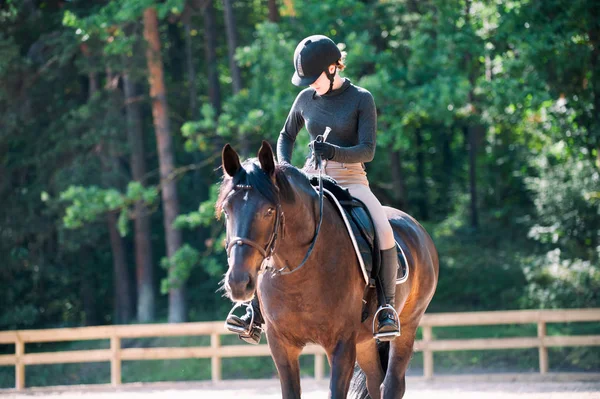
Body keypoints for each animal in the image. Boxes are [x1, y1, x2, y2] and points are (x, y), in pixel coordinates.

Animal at [218, 142, 438, 398]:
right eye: (227, 210)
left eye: (269, 211)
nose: (238, 282)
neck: (299, 273)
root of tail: (417, 229)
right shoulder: (281, 345)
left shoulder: (342, 345)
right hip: (364, 341)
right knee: (375, 381)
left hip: (408, 325)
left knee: (392, 384)